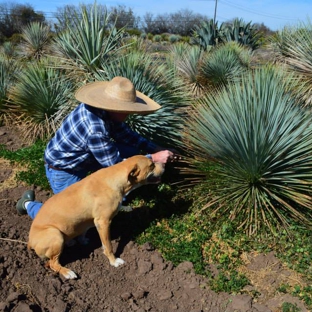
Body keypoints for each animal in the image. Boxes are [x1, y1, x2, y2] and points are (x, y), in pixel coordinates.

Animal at [27, 155, 165, 280]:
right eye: (151, 165)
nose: (164, 165)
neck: (115, 177)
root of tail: (30, 242)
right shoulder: (104, 222)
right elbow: (109, 246)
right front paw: (114, 261)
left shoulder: (95, 222)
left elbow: (101, 240)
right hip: (55, 234)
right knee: (52, 263)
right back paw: (67, 272)